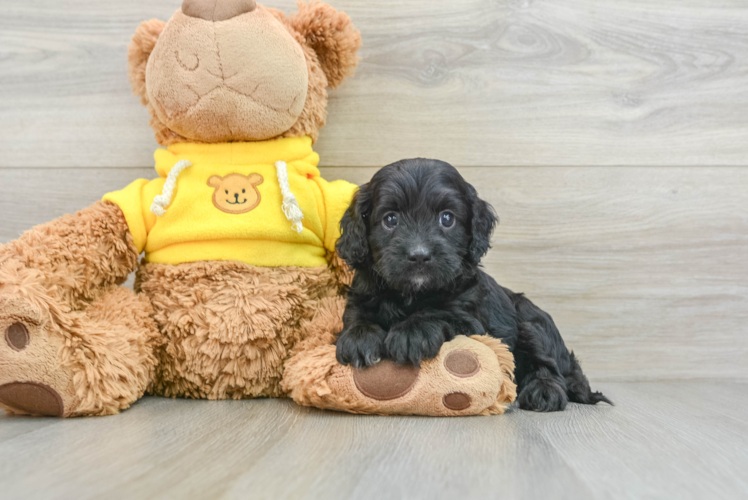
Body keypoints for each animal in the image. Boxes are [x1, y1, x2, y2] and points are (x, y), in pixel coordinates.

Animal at [336, 158, 612, 412]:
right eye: (390, 219)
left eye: (447, 218)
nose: (419, 255)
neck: (412, 293)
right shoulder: (361, 295)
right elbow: (356, 316)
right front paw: (359, 338)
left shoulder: (471, 319)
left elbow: (439, 312)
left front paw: (412, 332)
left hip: (531, 322)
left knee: (548, 365)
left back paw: (544, 392)